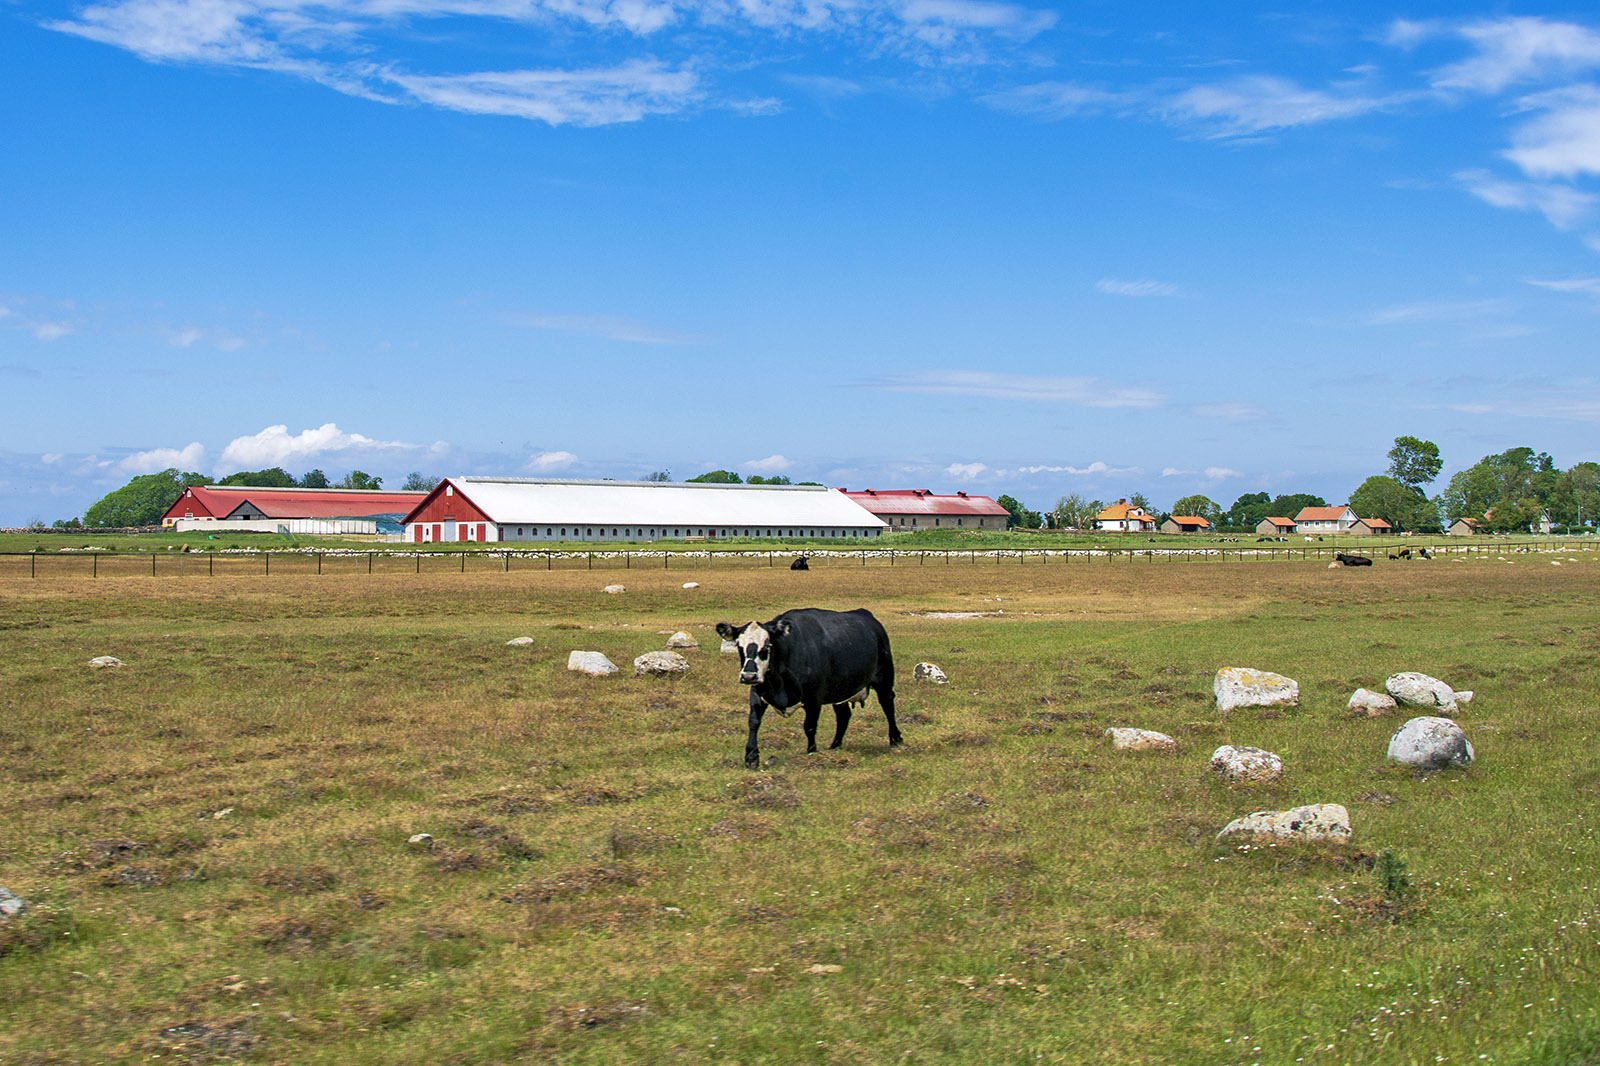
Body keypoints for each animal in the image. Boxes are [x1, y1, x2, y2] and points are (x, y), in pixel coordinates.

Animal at [716, 605, 902, 765]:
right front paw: (751, 756)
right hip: (840, 688)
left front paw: (811, 751)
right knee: (843, 715)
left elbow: (809, 726)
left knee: (887, 703)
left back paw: (895, 738)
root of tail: (868, 616)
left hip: (884, 678)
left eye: (767, 646)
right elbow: (753, 722)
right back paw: (835, 745)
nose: (748, 676)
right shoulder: (758, 692)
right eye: (739, 646)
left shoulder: (814, 698)